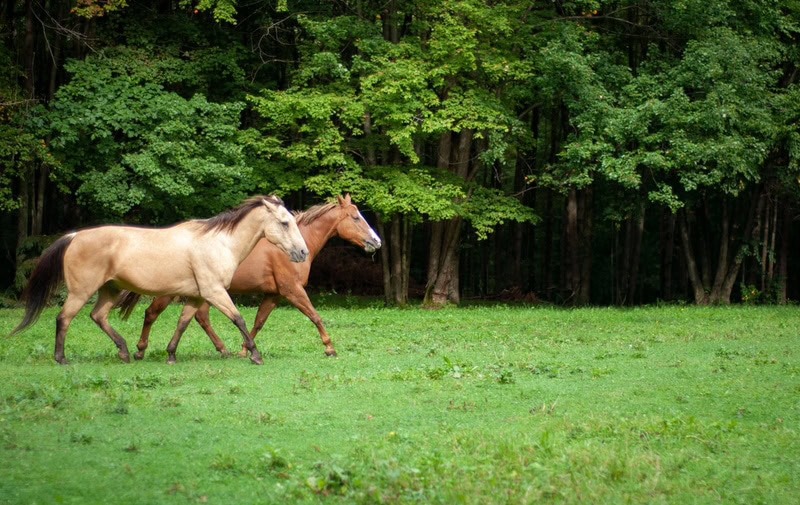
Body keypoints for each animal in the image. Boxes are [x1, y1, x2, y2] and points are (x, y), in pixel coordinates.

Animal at [10, 195, 309, 365]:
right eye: (284, 223)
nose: (302, 252)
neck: (219, 243)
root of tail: (74, 236)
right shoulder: (214, 292)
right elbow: (239, 319)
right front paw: (255, 355)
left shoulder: (196, 296)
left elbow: (183, 324)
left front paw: (171, 355)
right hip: (81, 291)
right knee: (64, 318)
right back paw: (61, 358)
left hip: (109, 290)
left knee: (98, 316)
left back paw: (125, 353)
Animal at [116, 194, 381, 359]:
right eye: (355, 217)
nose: (376, 241)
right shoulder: (292, 290)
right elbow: (315, 316)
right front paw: (329, 348)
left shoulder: (274, 295)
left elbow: (258, 322)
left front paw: (244, 349)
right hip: (172, 292)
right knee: (152, 313)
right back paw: (140, 349)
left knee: (200, 317)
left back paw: (222, 350)